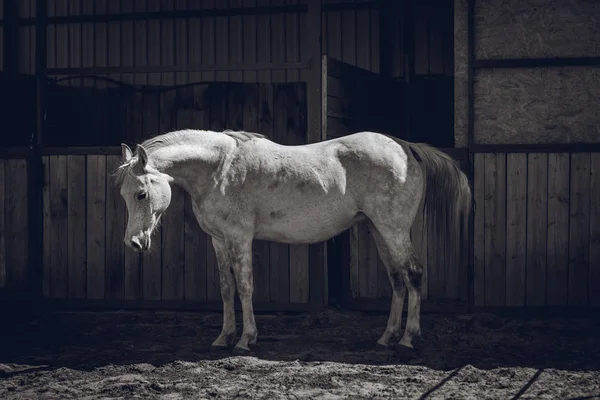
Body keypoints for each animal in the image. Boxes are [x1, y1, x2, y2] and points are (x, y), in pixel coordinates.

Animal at [115, 130, 472, 354]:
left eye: (141, 193)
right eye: (124, 194)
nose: (133, 243)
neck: (219, 168)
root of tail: (405, 147)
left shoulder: (240, 238)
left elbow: (245, 287)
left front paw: (245, 340)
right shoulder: (219, 240)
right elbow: (227, 289)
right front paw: (224, 337)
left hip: (392, 228)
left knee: (413, 275)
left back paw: (409, 339)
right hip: (379, 230)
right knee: (397, 279)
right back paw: (387, 337)